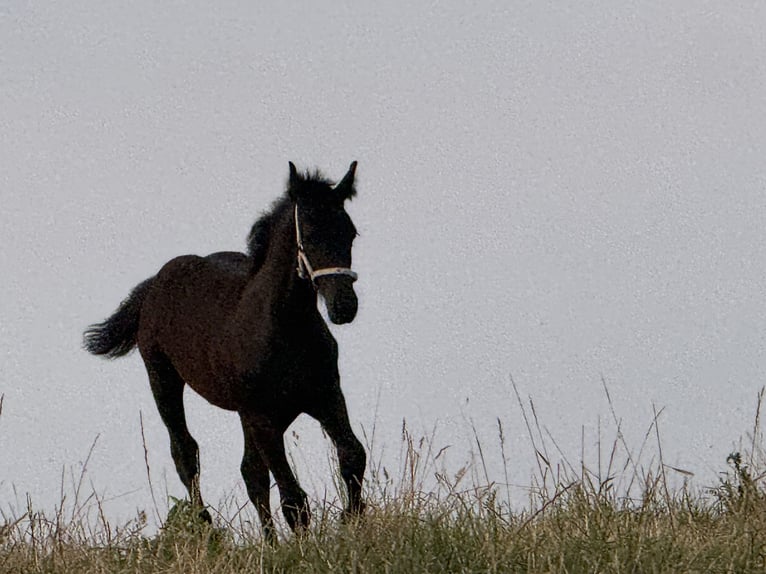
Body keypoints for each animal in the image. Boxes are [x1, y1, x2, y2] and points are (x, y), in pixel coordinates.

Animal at [83, 162, 365, 541]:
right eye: (307, 231)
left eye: (350, 232)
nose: (344, 306)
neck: (284, 330)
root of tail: (154, 282)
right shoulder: (262, 415)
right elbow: (292, 497)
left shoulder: (325, 396)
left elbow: (352, 455)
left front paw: (353, 520)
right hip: (163, 378)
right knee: (186, 452)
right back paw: (206, 527)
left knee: (251, 473)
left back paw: (267, 542)